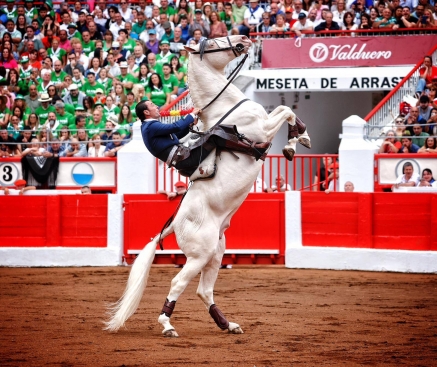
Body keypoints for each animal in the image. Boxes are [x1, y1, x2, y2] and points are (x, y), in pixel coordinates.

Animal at [104, 36, 310, 338]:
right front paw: (294, 143)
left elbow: (288, 111)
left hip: (216, 252)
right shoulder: (262, 127)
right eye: (212, 42)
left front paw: (300, 139)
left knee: (204, 290)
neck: (224, 105)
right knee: (178, 283)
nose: (244, 39)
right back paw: (167, 326)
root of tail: (175, 222)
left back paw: (228, 324)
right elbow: (286, 111)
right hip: (199, 256)